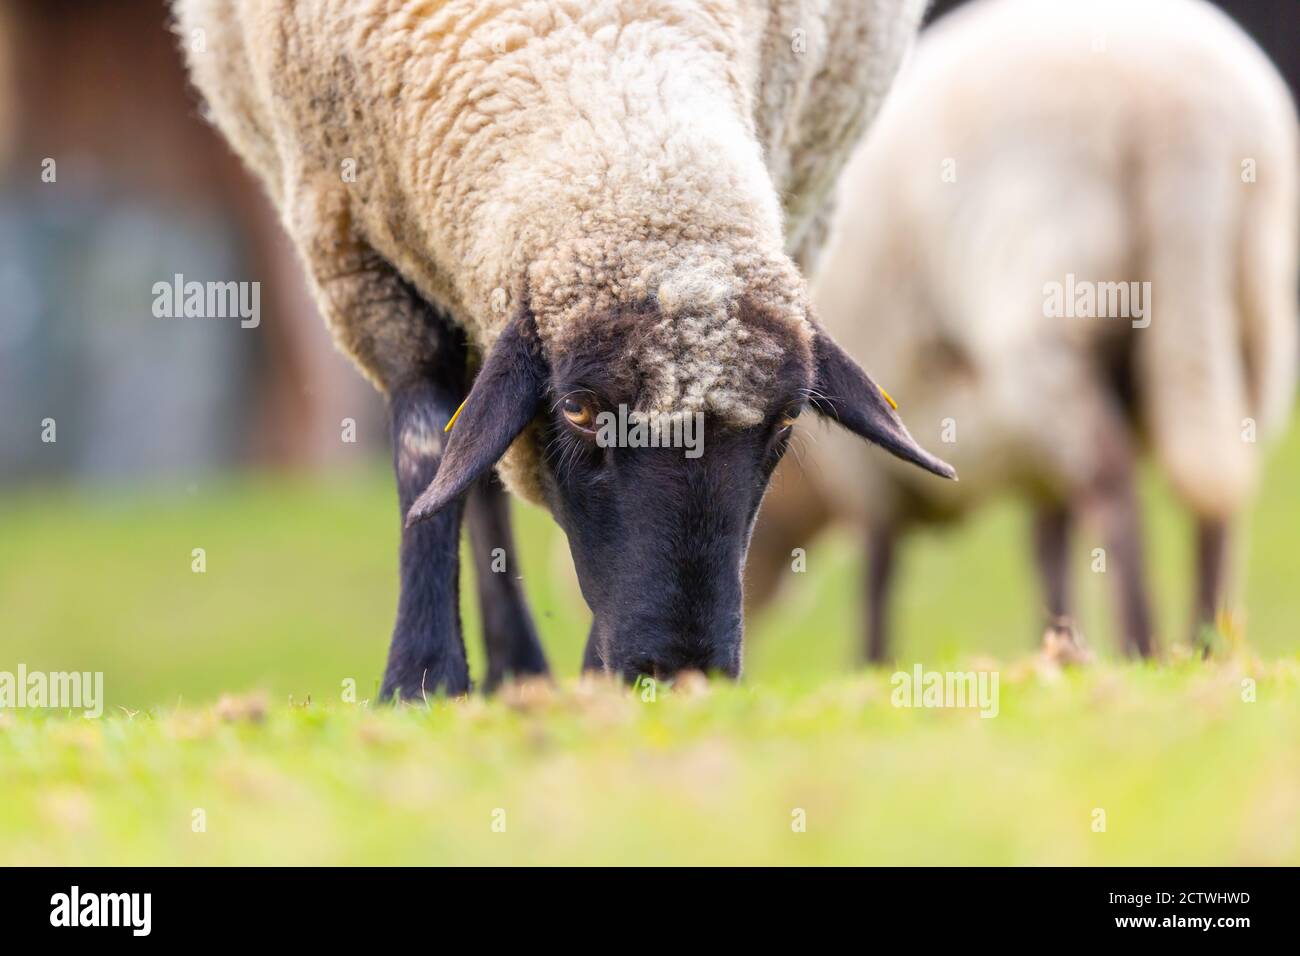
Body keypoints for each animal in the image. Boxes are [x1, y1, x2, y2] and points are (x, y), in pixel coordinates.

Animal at [173, 0, 953, 697]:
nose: (680, 673)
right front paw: (420, 678)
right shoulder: (354, 252)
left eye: (789, 419)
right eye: (577, 409)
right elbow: (427, 451)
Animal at [749, 0, 1299, 661]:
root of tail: (1187, 118)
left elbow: (880, 570)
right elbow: (1049, 549)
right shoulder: (1035, 469)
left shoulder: (869, 472)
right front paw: (1059, 643)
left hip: (1047, 310)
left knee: (1114, 477)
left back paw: (1141, 643)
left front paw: (873, 663)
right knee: (1216, 484)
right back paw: (1204, 646)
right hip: (1245, 313)